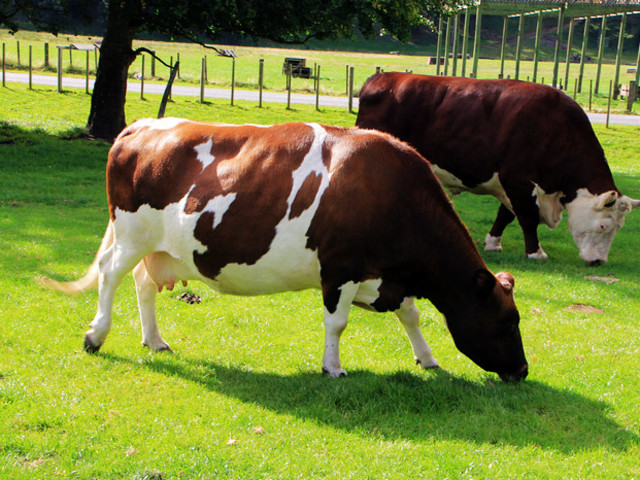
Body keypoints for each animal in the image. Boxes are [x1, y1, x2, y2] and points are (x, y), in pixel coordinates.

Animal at [41, 119, 528, 382]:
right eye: (507, 322)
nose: (523, 371)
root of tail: (141, 126)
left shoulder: (386, 274)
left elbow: (410, 314)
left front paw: (426, 358)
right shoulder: (341, 268)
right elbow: (338, 323)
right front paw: (333, 368)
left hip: (165, 248)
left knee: (143, 282)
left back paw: (155, 339)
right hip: (131, 233)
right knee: (111, 273)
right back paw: (96, 335)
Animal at [356, 73, 640, 264]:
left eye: (619, 228)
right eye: (603, 226)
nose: (598, 262)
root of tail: (382, 77)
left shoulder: (513, 184)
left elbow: (506, 215)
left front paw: (493, 243)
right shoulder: (518, 179)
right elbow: (527, 217)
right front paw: (535, 252)